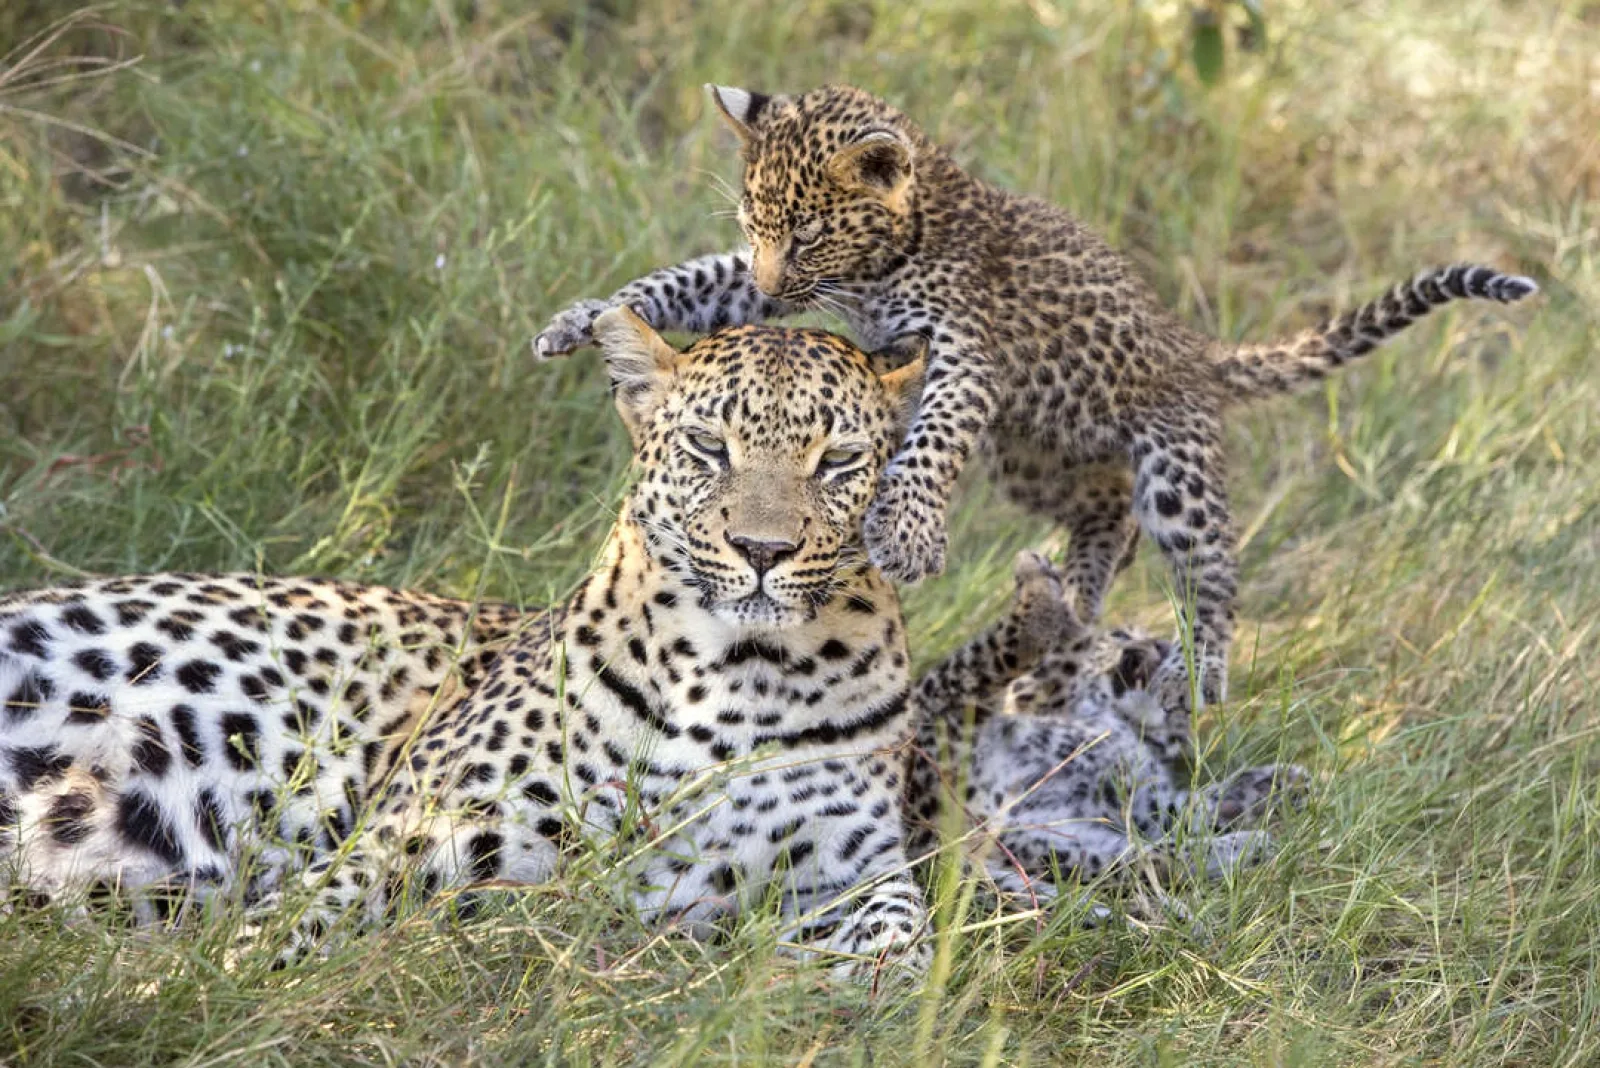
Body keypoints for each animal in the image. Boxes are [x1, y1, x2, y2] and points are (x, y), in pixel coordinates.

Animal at [0, 310, 933, 981]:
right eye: (711, 447)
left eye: (838, 460)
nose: (763, 550)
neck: (743, 677)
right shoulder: (421, 832)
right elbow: (305, 919)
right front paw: (209, 985)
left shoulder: (852, 872)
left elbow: (906, 946)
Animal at [533, 81, 1539, 710]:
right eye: (755, 223)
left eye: (812, 232)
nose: (779, 279)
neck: (905, 239)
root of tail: (1191, 349)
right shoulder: (772, 291)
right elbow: (687, 281)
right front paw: (585, 318)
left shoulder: (964, 352)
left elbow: (935, 436)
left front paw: (907, 533)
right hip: (1040, 456)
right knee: (1106, 519)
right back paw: (1076, 610)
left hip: (1171, 471)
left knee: (1209, 570)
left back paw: (1206, 678)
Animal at [904, 550, 1307, 907]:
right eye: (1120, 635)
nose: (1159, 645)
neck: (1122, 722)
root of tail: (929, 842)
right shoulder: (1038, 695)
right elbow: (1068, 650)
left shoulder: (1146, 806)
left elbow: (1198, 804)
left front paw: (1277, 782)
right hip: (941, 718)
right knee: (997, 653)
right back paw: (1036, 576)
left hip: (1060, 846)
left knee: (1148, 861)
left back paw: (1245, 846)